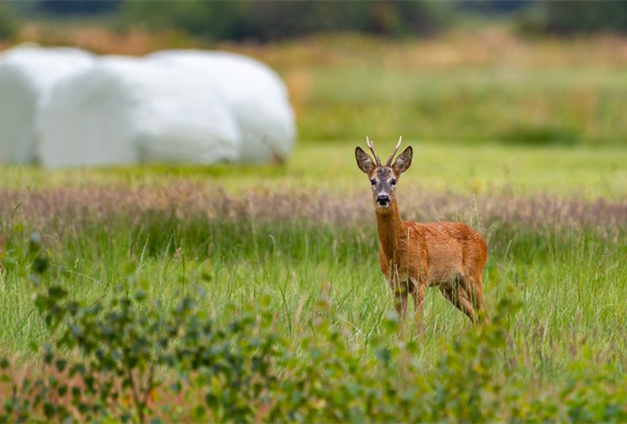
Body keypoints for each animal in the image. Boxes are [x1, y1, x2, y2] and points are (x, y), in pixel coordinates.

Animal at [356, 137, 488, 326]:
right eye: (372, 181)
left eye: (393, 181)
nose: (383, 198)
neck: (397, 249)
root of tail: (483, 242)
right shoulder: (396, 284)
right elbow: (401, 324)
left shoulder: (420, 279)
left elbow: (418, 323)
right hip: (450, 286)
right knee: (476, 316)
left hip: (473, 275)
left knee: (485, 313)